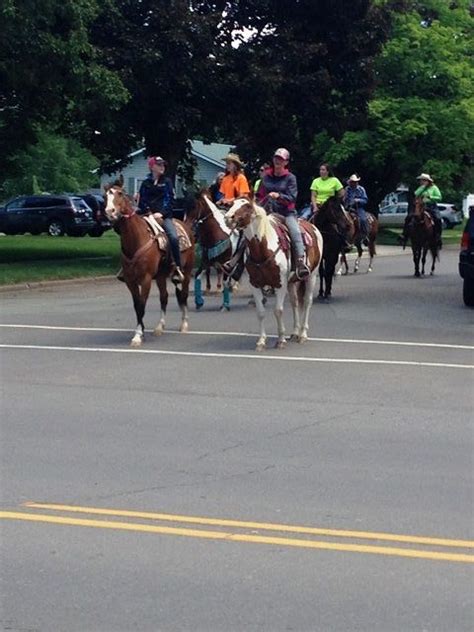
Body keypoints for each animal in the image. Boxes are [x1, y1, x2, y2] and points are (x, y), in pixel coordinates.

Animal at [104, 180, 194, 348]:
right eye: (105, 196)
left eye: (120, 193)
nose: (110, 211)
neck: (136, 239)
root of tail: (185, 225)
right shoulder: (131, 281)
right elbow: (136, 305)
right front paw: (142, 331)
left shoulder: (145, 279)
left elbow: (142, 305)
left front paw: (138, 336)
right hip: (160, 276)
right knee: (164, 297)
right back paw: (159, 327)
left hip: (187, 270)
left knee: (184, 295)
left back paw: (184, 324)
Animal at [225, 198, 322, 350]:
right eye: (232, 204)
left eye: (247, 206)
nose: (228, 218)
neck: (262, 249)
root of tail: (312, 226)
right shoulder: (255, 285)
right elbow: (260, 312)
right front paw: (261, 341)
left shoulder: (279, 284)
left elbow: (278, 310)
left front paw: (281, 339)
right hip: (291, 282)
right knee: (294, 302)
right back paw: (295, 332)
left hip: (311, 276)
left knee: (307, 302)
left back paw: (303, 334)